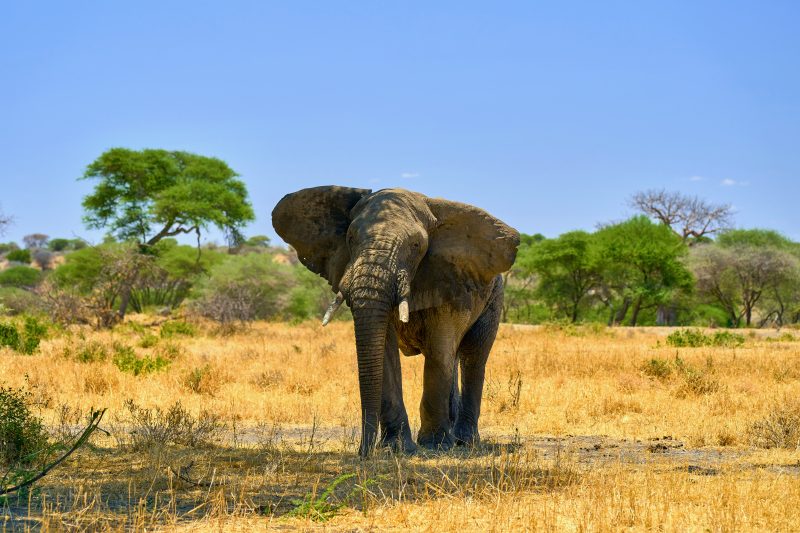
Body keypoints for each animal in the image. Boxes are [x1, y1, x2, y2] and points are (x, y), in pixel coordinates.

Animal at [272, 186, 519, 456]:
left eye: (416, 245)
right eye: (350, 239)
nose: (363, 453)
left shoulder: (447, 275)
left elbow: (438, 352)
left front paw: (434, 446)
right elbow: (386, 354)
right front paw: (397, 448)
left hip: (494, 296)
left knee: (473, 355)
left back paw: (465, 442)